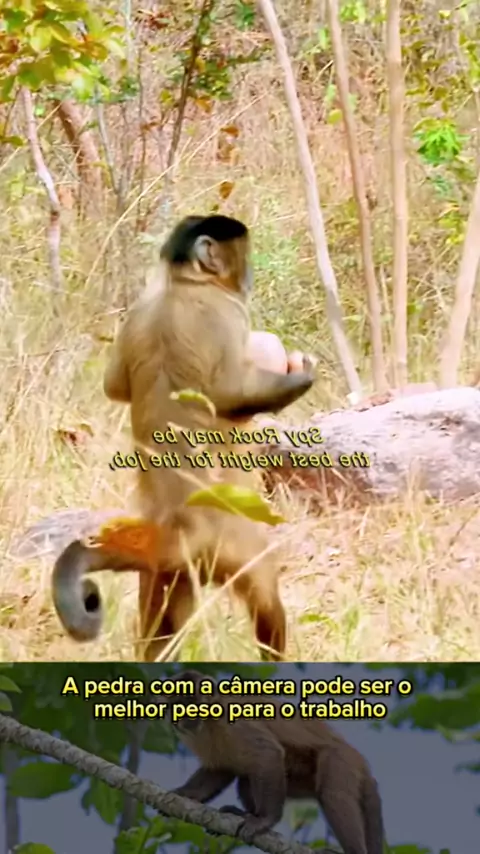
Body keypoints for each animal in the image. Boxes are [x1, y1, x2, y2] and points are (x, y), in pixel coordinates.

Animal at [50, 215, 316, 662]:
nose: (249, 275)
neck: (183, 284)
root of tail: (181, 526)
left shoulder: (139, 310)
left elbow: (113, 388)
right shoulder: (224, 312)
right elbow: (232, 395)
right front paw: (303, 374)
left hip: (166, 566)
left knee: (161, 626)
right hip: (233, 543)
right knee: (264, 595)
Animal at [165, 670, 385, 853]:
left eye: (188, 702)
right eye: (174, 705)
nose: (180, 717)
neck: (209, 722)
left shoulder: (231, 720)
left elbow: (267, 754)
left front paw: (264, 821)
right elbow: (220, 769)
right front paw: (185, 793)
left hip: (341, 759)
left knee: (332, 795)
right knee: (246, 779)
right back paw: (244, 814)